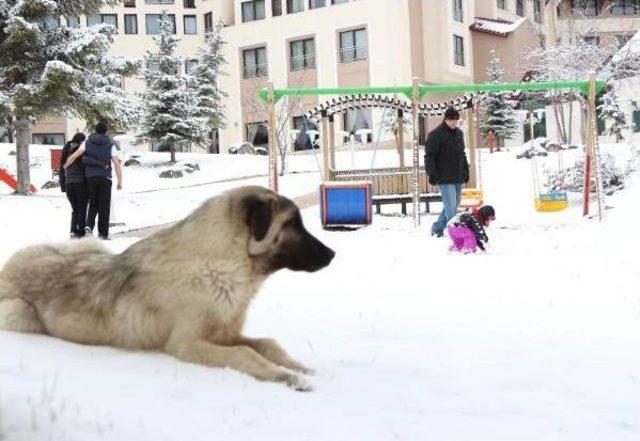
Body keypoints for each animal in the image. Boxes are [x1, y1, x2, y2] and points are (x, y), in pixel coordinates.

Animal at [0, 185, 338, 388]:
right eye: (292, 225)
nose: (332, 254)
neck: (221, 264)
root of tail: (10, 264)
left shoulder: (223, 333)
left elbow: (267, 344)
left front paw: (297, 367)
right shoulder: (188, 344)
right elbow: (246, 354)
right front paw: (285, 376)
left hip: (89, 245)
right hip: (21, 314)